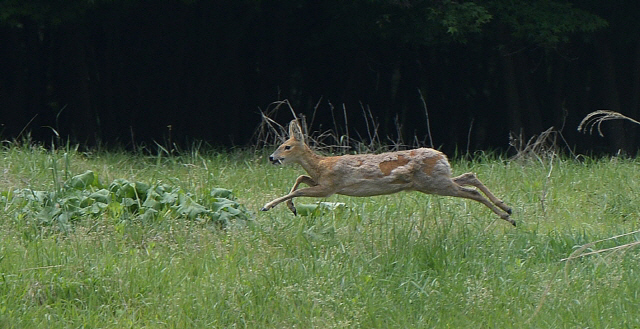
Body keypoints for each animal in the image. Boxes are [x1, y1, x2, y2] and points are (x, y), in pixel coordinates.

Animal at [260, 120, 516, 226]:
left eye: (286, 146)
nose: (272, 158)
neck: (322, 165)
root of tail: (443, 157)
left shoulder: (329, 187)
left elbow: (299, 189)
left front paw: (268, 206)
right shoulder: (322, 183)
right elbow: (301, 178)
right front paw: (291, 209)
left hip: (435, 183)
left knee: (470, 192)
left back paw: (507, 217)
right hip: (435, 180)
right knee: (470, 177)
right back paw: (507, 208)